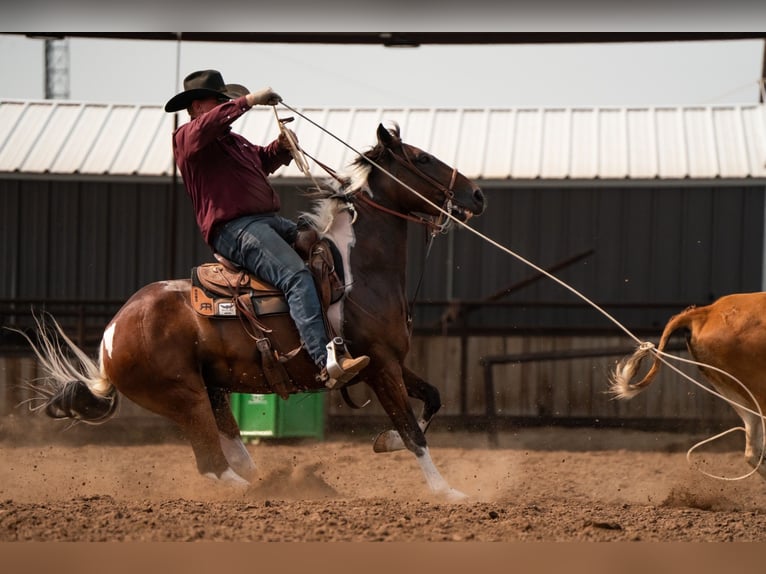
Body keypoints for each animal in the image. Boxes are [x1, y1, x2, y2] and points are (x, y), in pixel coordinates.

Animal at [20, 123, 486, 501]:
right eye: (421, 158)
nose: (477, 195)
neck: (359, 269)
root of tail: (111, 336)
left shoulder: (387, 361)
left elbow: (432, 398)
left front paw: (385, 441)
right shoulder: (381, 365)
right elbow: (412, 431)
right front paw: (447, 491)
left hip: (212, 390)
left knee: (232, 453)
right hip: (185, 398)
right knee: (212, 465)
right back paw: (268, 489)